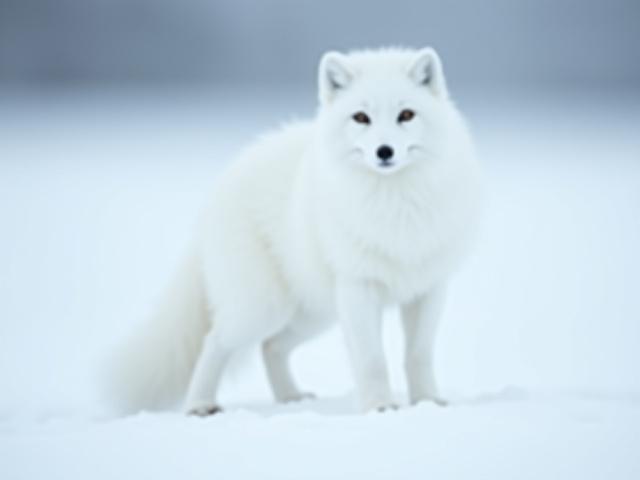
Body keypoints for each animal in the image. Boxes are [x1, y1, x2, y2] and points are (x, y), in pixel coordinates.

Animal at [107, 47, 482, 416]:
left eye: (406, 114)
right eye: (361, 117)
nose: (384, 151)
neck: (396, 204)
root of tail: (222, 183)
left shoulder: (429, 289)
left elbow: (418, 354)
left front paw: (427, 402)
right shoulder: (358, 288)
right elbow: (372, 360)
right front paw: (380, 407)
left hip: (314, 313)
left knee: (271, 346)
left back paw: (289, 398)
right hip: (263, 308)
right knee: (214, 341)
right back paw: (200, 405)